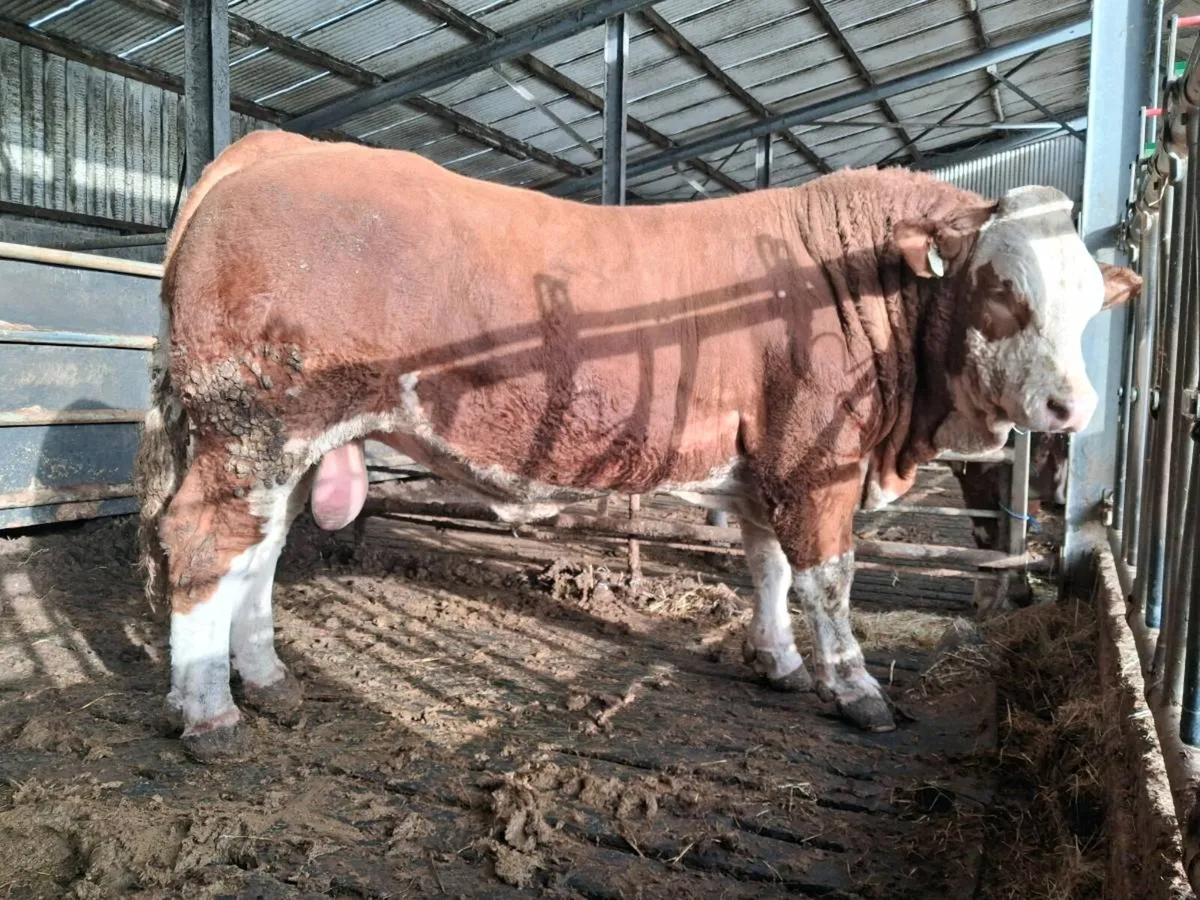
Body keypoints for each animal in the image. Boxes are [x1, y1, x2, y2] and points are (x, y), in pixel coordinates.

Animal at [135, 130, 1140, 761]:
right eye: (1004, 289)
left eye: (1093, 303)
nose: (1072, 405)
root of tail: (280, 149)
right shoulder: (817, 464)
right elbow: (828, 579)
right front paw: (857, 691)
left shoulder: (763, 467)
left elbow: (768, 571)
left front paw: (775, 663)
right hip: (252, 428)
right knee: (202, 544)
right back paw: (210, 712)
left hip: (282, 446)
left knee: (259, 553)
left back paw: (265, 680)